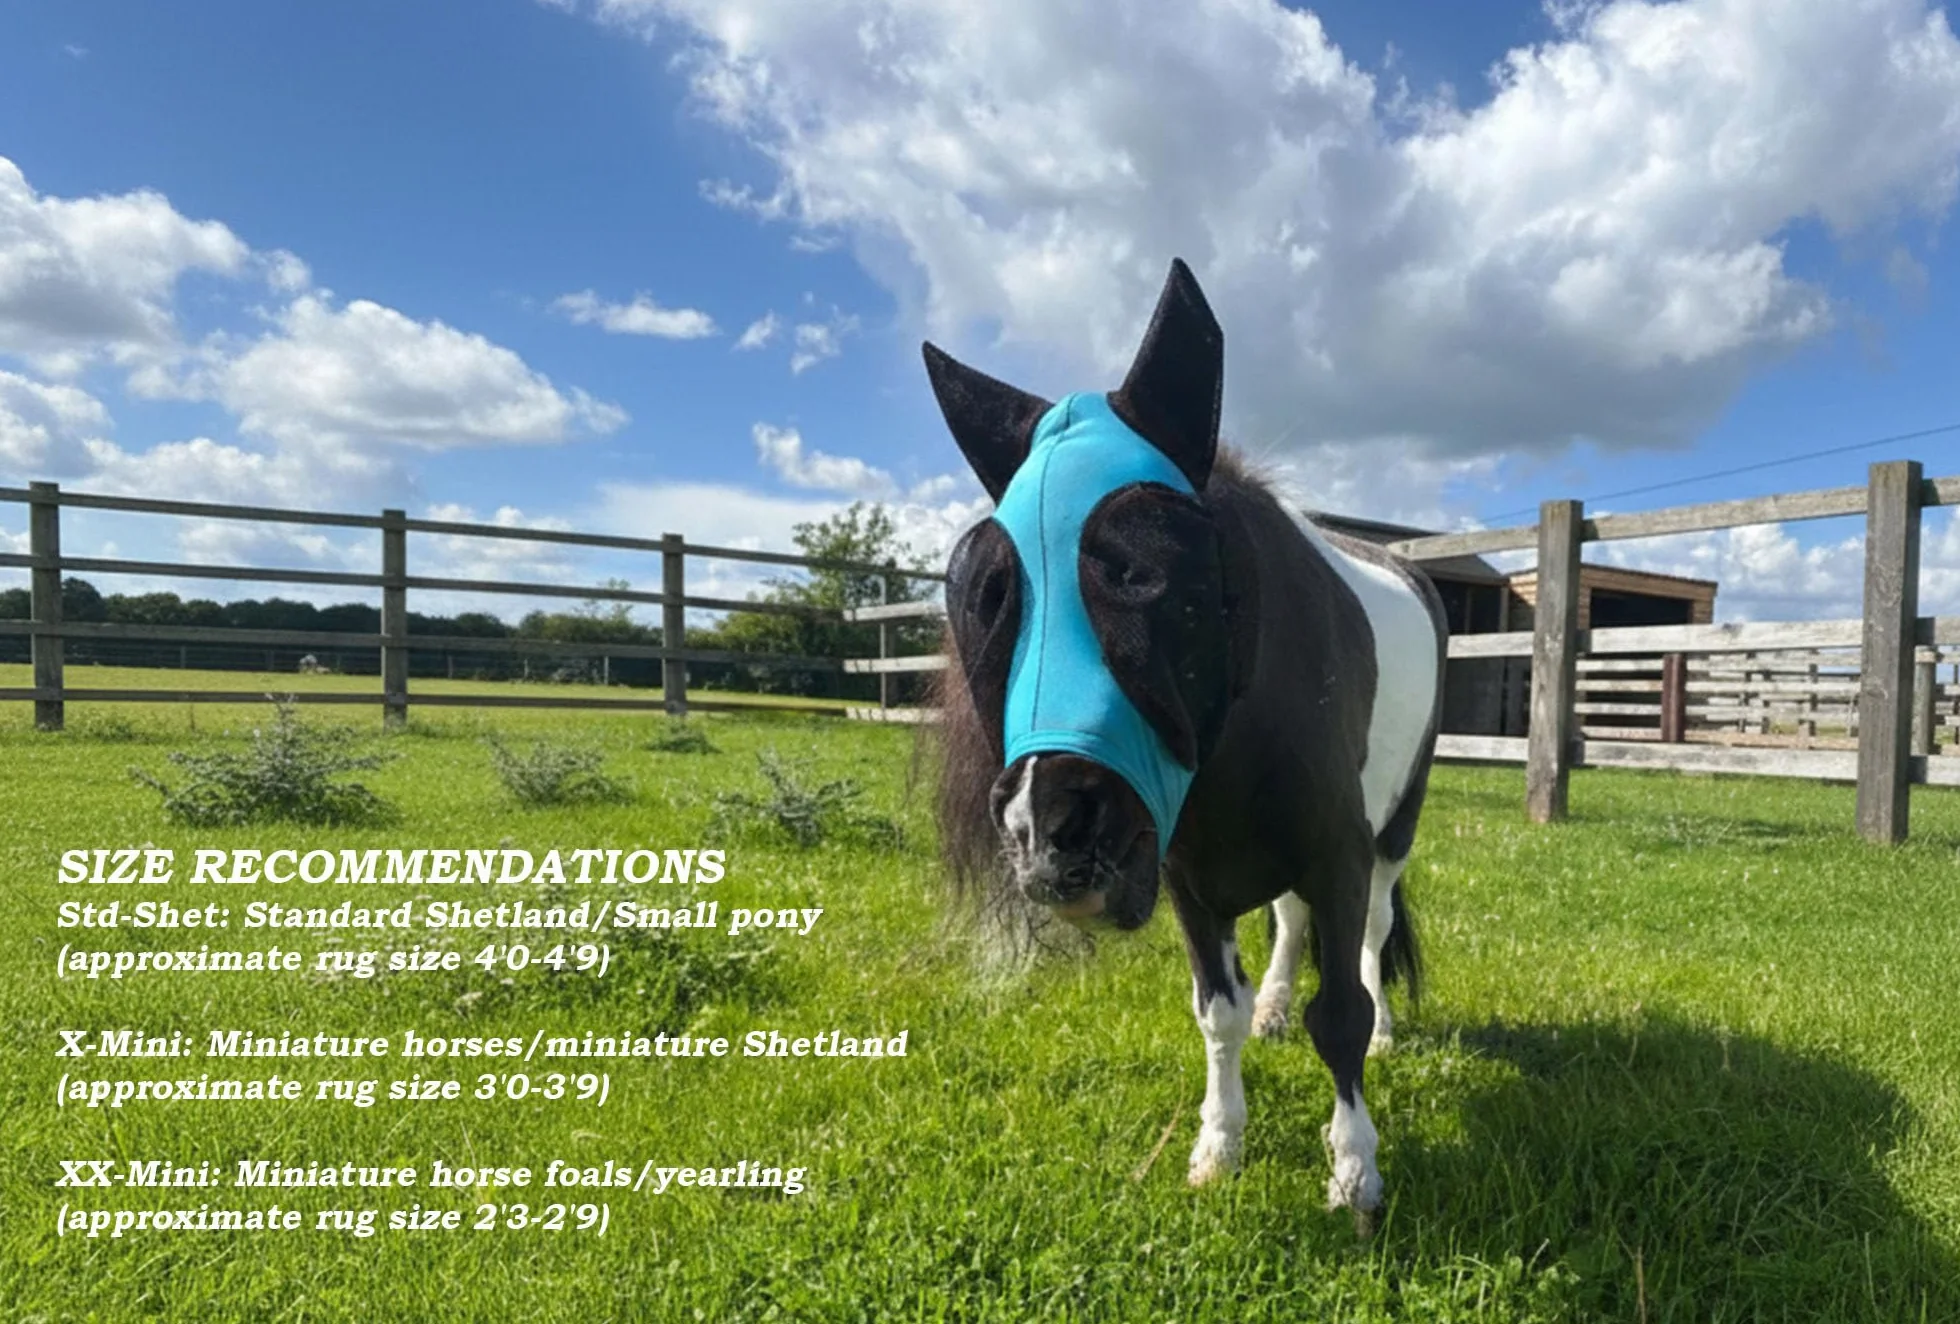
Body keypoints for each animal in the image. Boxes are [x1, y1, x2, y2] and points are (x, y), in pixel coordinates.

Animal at [924, 258, 1447, 1223]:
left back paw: (1386, 1031)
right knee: (1289, 924)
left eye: (1150, 573)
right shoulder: (1188, 879)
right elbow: (1218, 1011)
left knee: (1372, 935)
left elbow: (1343, 1014)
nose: (1051, 833)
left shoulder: (1338, 853)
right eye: (988, 591)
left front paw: (1354, 1169)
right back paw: (1275, 1005)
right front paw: (1218, 1146)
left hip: (1394, 830)